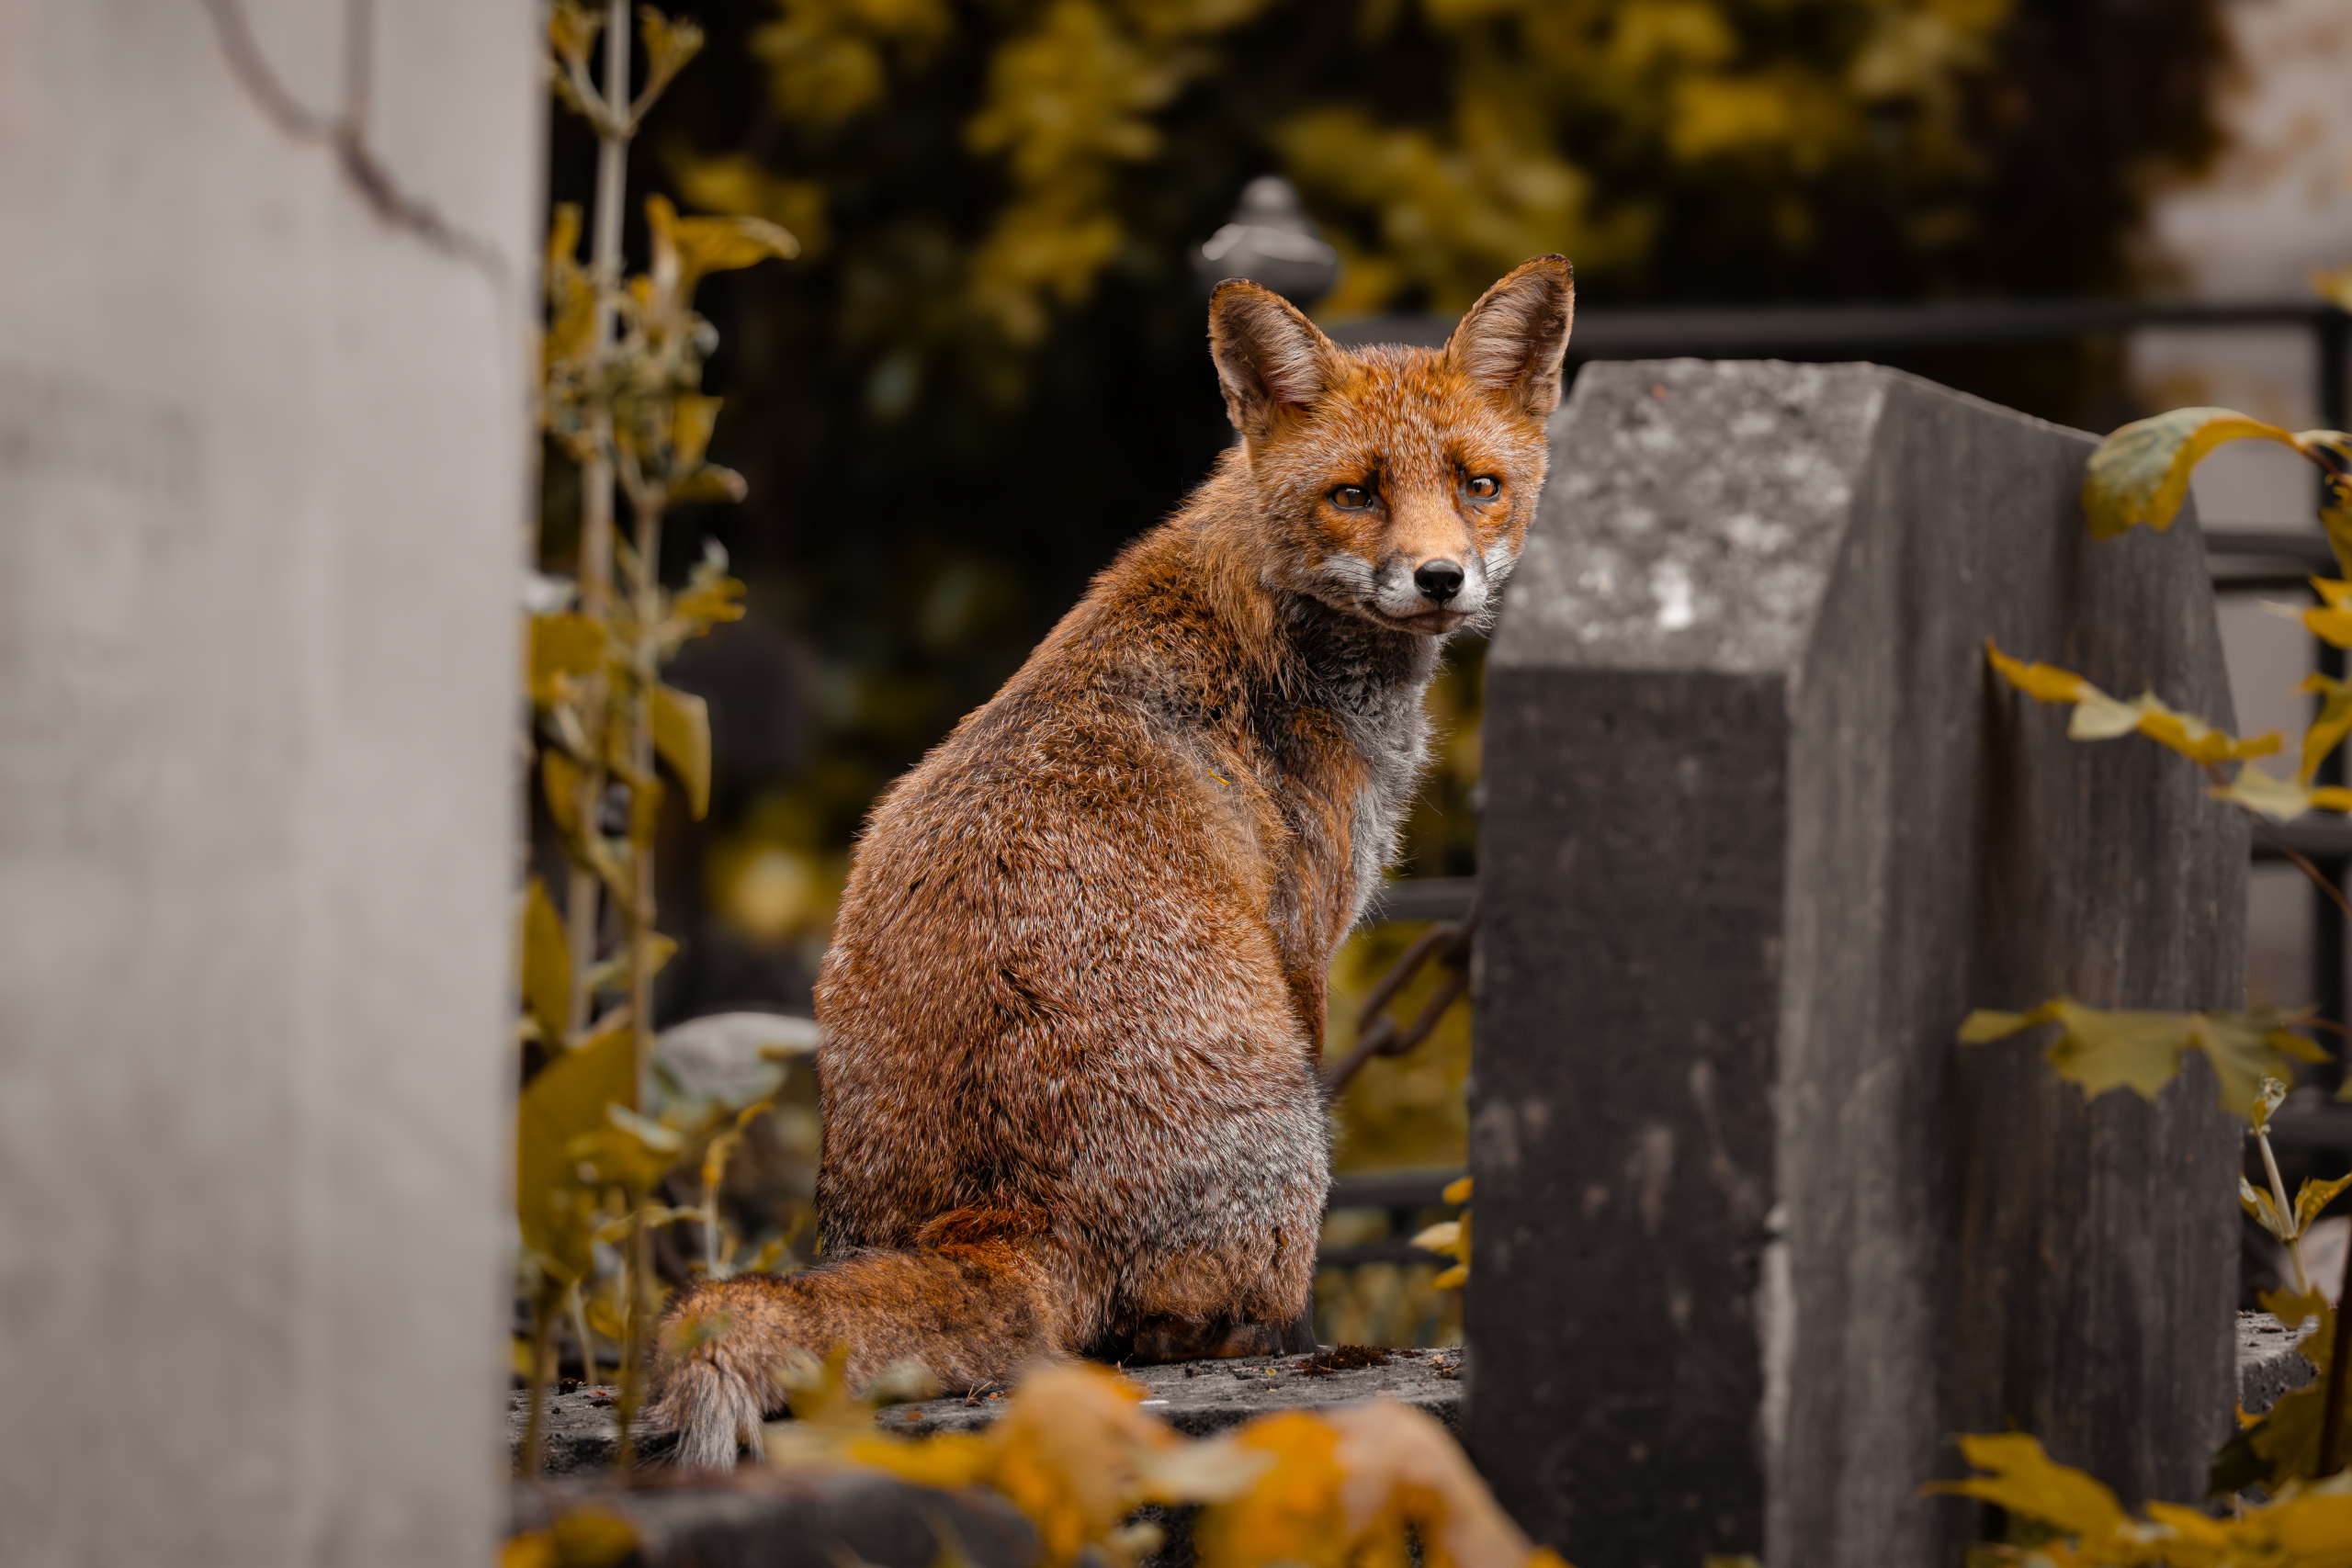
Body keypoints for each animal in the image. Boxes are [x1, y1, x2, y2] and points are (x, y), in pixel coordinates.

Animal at [646, 254, 1574, 1468]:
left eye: (1477, 484)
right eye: (1355, 494)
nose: (1439, 579)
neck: (1275, 610)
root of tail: (998, 1212)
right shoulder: (1304, 934)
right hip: (1289, 1124)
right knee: (1155, 1332)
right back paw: (1250, 1340)